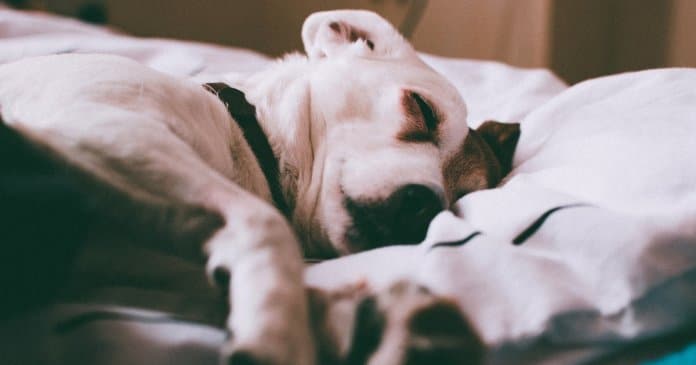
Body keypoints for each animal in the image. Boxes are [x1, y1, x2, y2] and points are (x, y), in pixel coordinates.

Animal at [0, 9, 516, 364]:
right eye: (423, 111)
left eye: (463, 198)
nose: (423, 207)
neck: (246, 138)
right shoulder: (101, 127)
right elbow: (266, 224)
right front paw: (275, 328)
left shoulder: (136, 269)